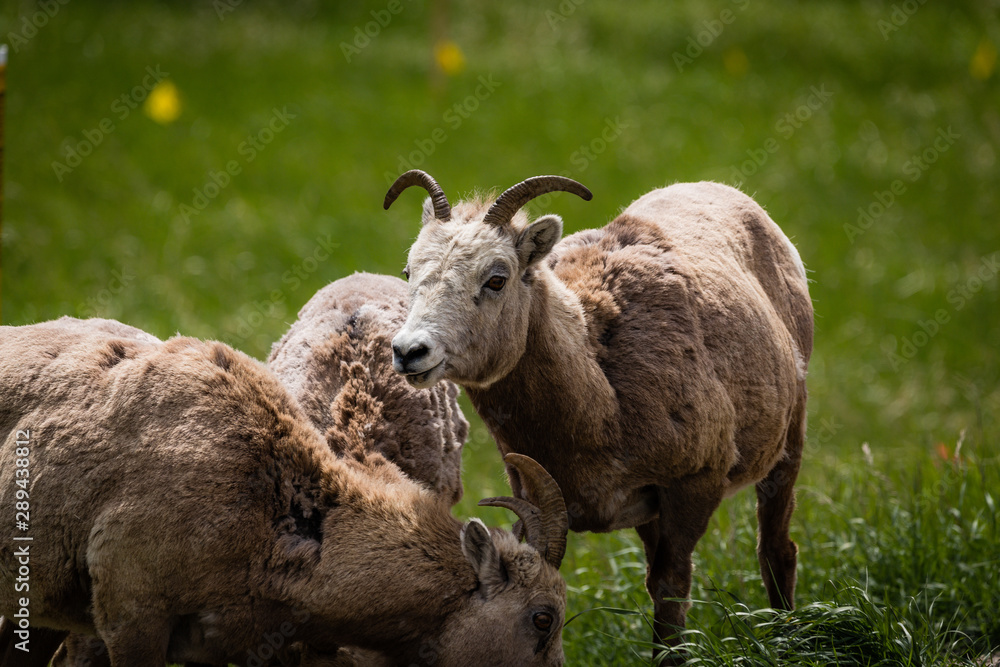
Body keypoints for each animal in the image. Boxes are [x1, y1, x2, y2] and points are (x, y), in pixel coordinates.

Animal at [384, 170, 814, 658]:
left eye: (496, 279)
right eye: (409, 272)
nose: (409, 352)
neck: (603, 399)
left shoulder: (692, 487)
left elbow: (670, 595)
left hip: (786, 449)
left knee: (777, 550)